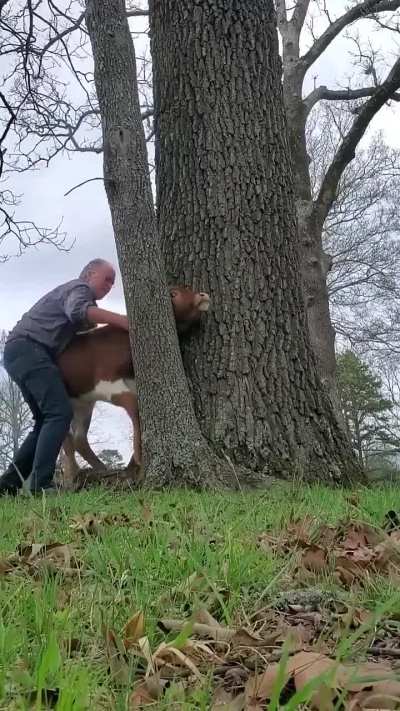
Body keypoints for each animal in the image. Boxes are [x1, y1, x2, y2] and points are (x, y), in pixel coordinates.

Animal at [57, 286, 210, 487]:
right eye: (173, 293)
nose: (203, 295)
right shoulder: (107, 384)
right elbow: (135, 406)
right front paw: (139, 458)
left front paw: (133, 464)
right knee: (65, 436)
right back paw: (71, 477)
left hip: (83, 403)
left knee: (79, 438)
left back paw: (100, 469)